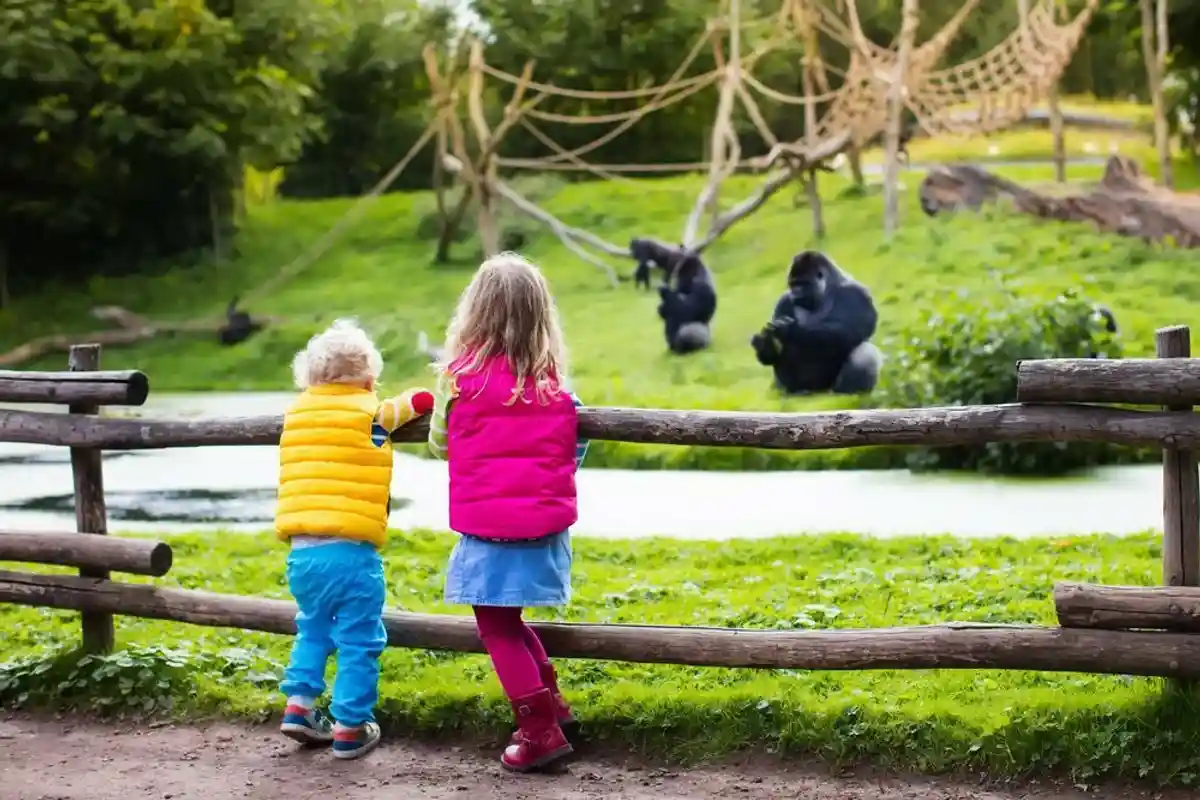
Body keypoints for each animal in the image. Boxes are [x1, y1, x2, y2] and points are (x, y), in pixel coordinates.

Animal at [748, 250, 883, 393]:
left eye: (802, 284)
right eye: (793, 284)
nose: (794, 292)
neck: (827, 291)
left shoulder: (857, 293)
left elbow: (850, 331)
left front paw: (788, 331)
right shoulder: (783, 300)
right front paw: (764, 343)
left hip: (829, 389)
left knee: (865, 352)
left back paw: (849, 392)